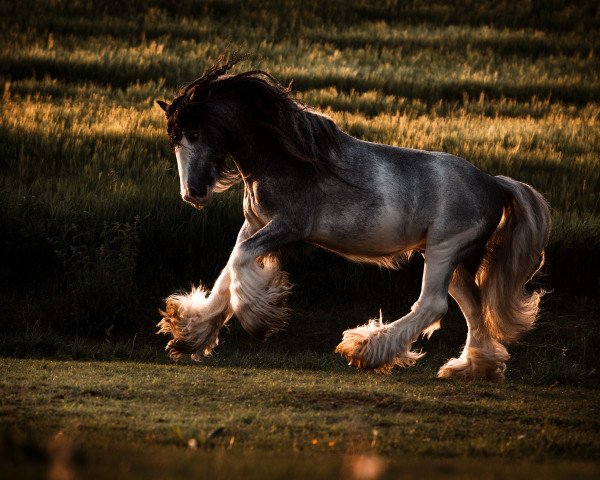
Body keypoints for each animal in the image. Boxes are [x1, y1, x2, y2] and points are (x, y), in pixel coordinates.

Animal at [157, 56, 552, 380]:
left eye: (195, 132)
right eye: (174, 140)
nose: (193, 193)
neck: (285, 158)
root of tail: (493, 182)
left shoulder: (287, 227)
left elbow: (240, 262)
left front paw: (258, 319)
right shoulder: (254, 224)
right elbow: (229, 271)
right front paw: (187, 335)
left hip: (444, 251)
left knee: (432, 304)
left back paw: (366, 350)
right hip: (454, 261)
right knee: (474, 308)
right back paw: (471, 368)